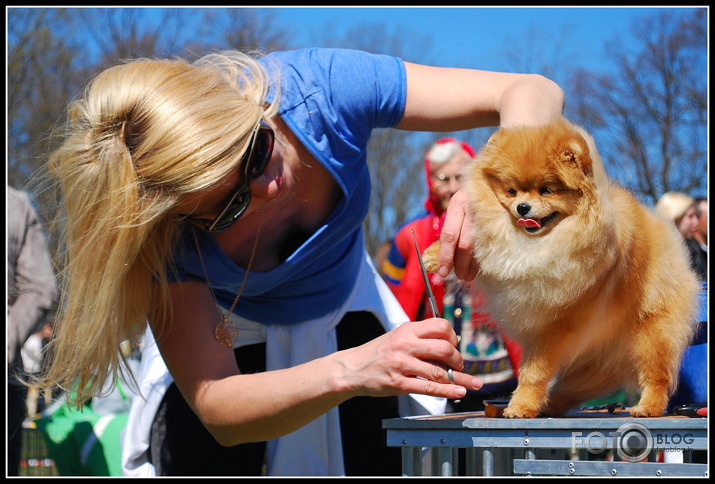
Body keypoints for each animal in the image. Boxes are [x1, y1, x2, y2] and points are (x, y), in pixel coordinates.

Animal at [426, 116, 700, 416]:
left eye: (547, 190)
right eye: (511, 191)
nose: (522, 207)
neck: (538, 242)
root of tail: (667, 234)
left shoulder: (556, 327)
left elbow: (534, 372)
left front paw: (520, 406)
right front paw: (433, 255)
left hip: (652, 332)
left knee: (657, 374)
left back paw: (648, 406)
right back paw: (553, 403)